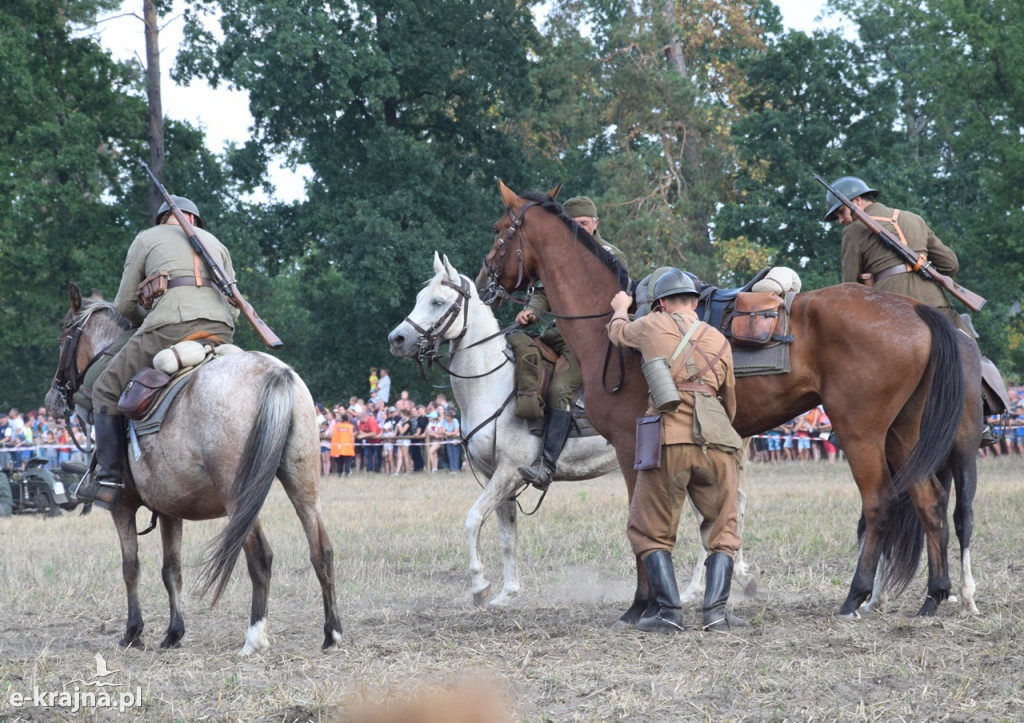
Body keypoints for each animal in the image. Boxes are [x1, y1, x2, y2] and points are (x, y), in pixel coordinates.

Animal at [46, 282, 344, 655]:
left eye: (63, 336)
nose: (53, 398)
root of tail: (274, 372)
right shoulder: (169, 510)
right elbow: (171, 569)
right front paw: (174, 633)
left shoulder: (122, 507)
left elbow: (131, 567)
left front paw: (133, 632)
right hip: (303, 483)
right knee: (322, 551)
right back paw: (332, 633)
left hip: (240, 497)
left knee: (261, 557)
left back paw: (254, 637)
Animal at [475, 181, 970, 618]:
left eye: (499, 229)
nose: (482, 283)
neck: (609, 328)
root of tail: (912, 310)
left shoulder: (633, 445)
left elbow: (643, 522)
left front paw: (642, 604)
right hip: (903, 435)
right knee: (929, 501)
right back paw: (934, 595)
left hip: (860, 434)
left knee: (878, 504)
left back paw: (857, 596)